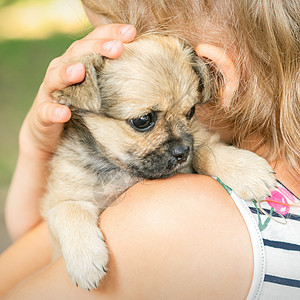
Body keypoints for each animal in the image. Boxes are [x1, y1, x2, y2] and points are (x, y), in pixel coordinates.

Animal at [41, 34, 276, 290]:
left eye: (190, 112)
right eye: (143, 120)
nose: (183, 152)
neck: (121, 168)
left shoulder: (195, 142)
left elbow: (206, 148)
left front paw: (245, 169)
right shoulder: (59, 199)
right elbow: (70, 210)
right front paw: (85, 261)